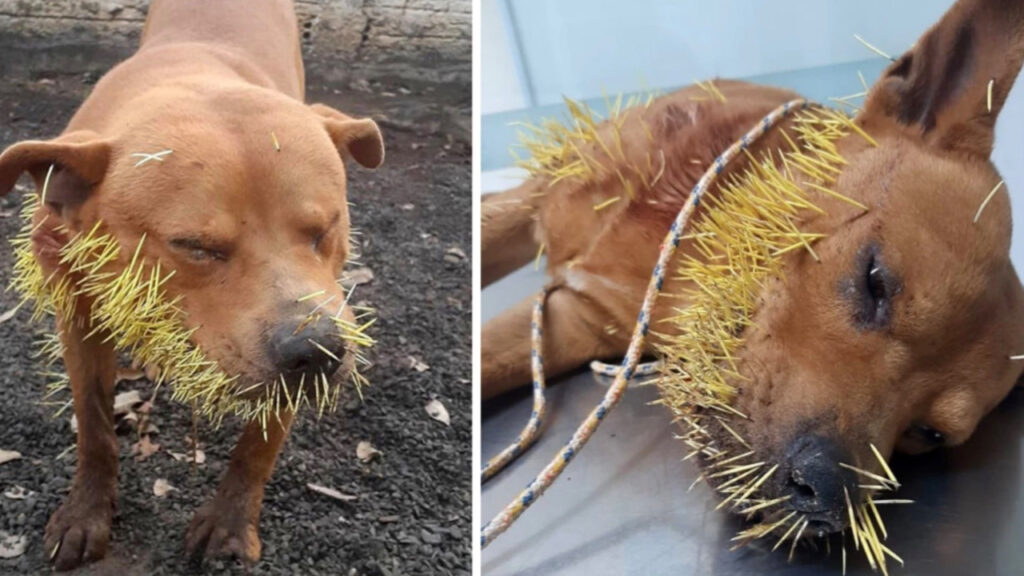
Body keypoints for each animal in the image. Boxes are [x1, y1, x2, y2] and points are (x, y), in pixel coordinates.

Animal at [0, 0, 385, 565]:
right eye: (196, 247)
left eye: (325, 230)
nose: (316, 350)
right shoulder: (78, 316)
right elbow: (93, 423)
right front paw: (85, 513)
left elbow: (259, 446)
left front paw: (230, 522)